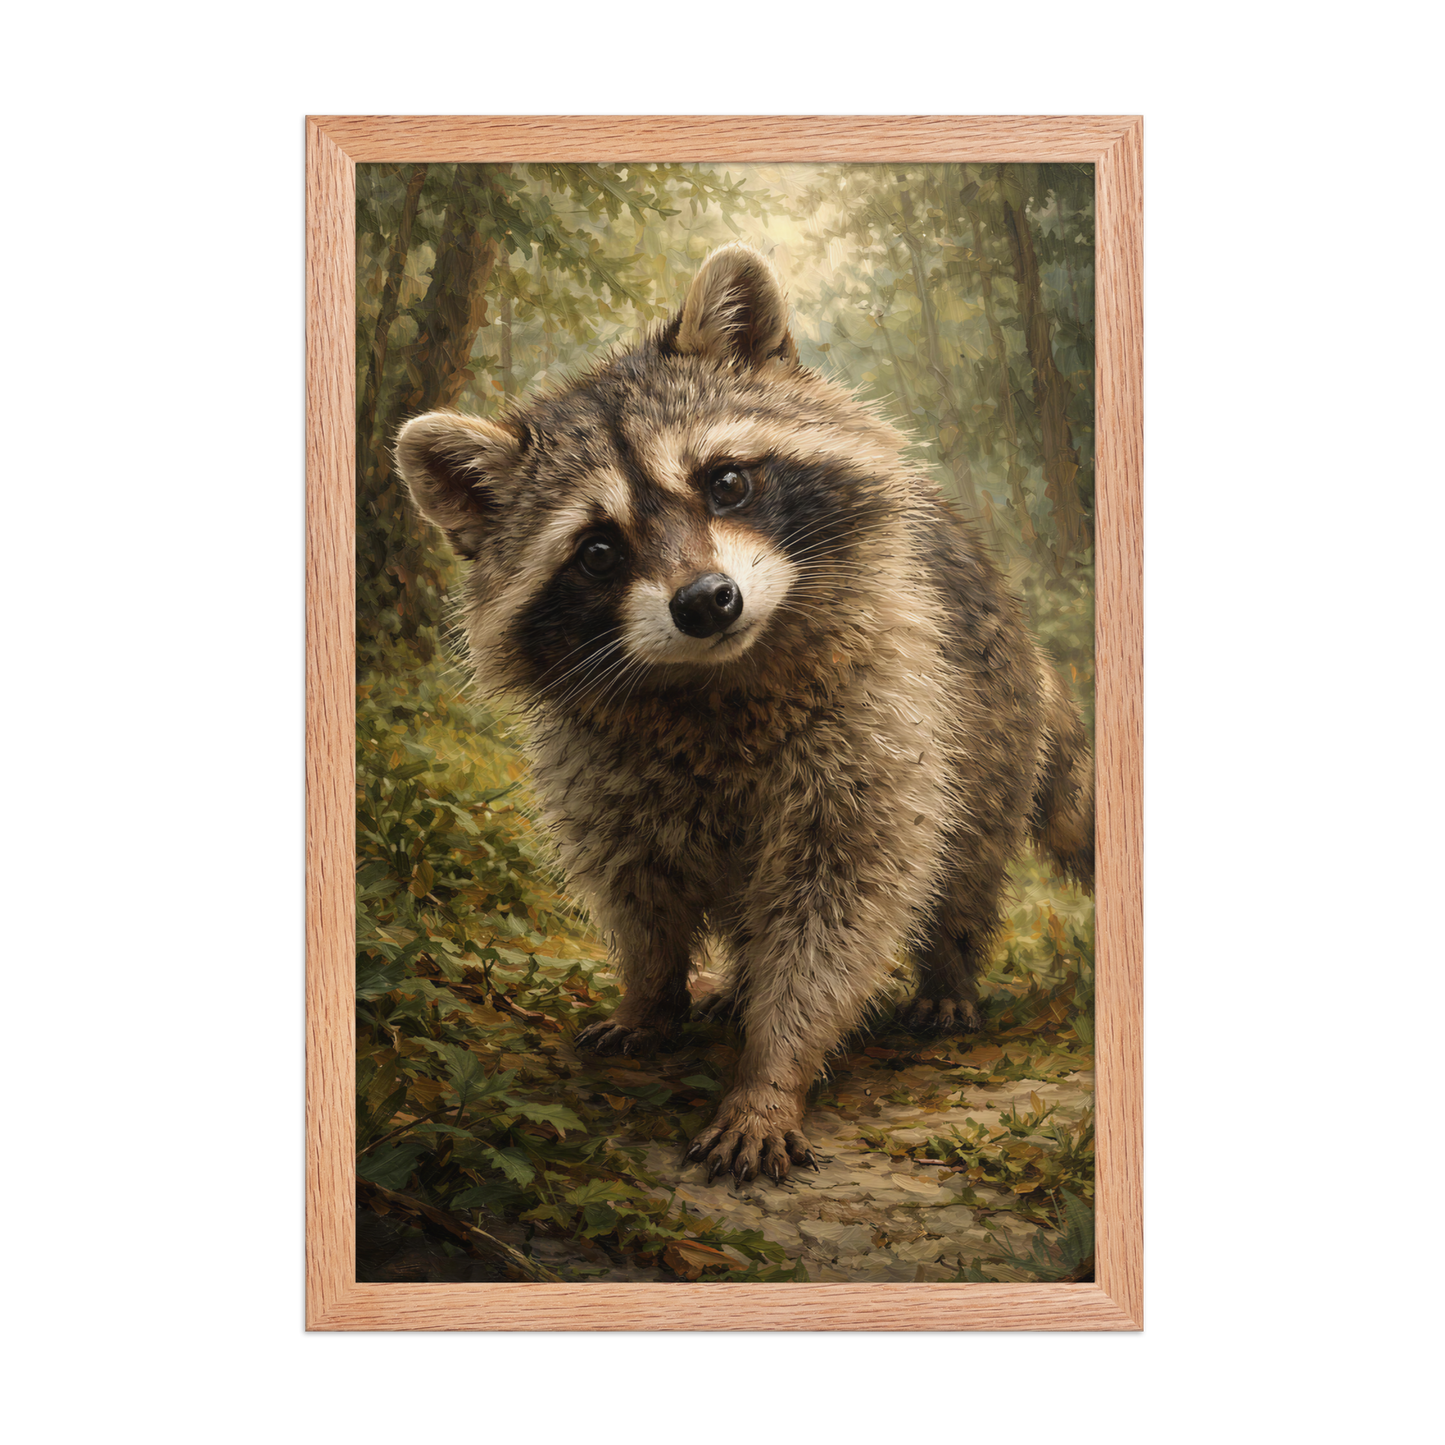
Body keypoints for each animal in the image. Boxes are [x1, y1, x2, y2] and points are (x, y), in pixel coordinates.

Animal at [395, 244, 1093, 1186]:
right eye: (597, 550)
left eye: (725, 481)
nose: (705, 601)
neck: (715, 680)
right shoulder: (597, 767)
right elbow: (636, 889)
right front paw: (651, 993)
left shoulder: (880, 718)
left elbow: (838, 908)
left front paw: (771, 1072)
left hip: (987, 721)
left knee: (965, 860)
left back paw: (947, 969)